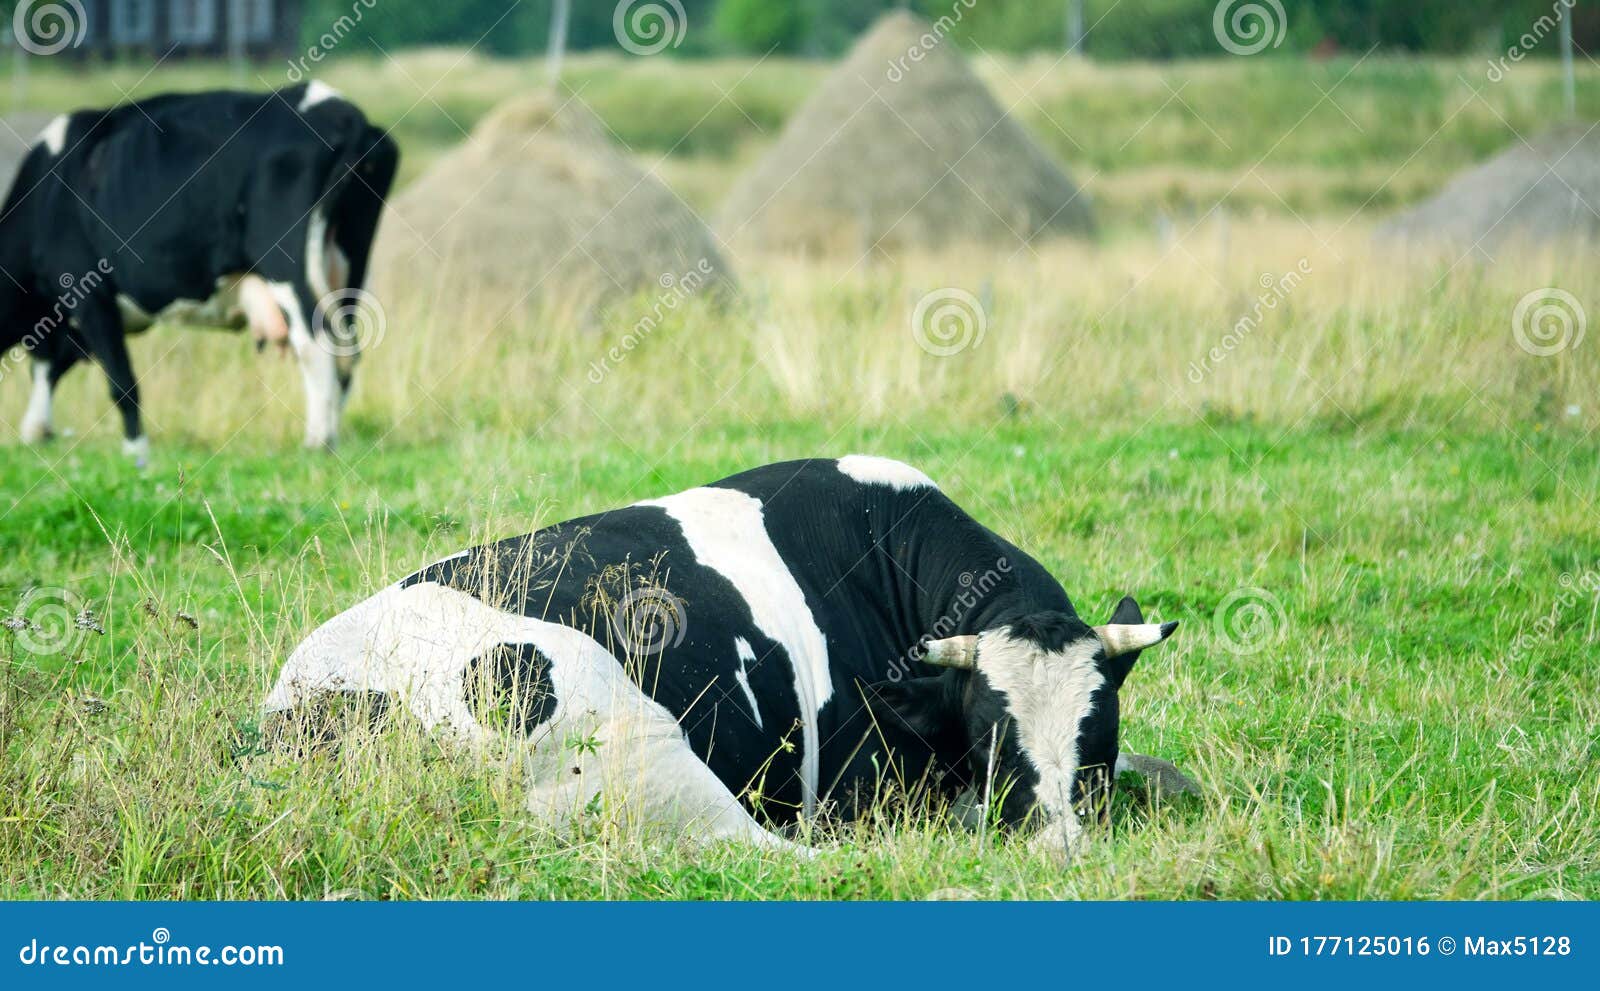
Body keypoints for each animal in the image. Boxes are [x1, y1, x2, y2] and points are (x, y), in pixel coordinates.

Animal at [0, 80, 400, 461]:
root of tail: (342, 111)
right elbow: (50, 362)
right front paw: (36, 429)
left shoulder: (88, 293)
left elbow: (119, 379)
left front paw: (136, 452)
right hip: (349, 264)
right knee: (347, 353)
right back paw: (332, 434)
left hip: (286, 265)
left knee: (316, 343)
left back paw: (317, 442)